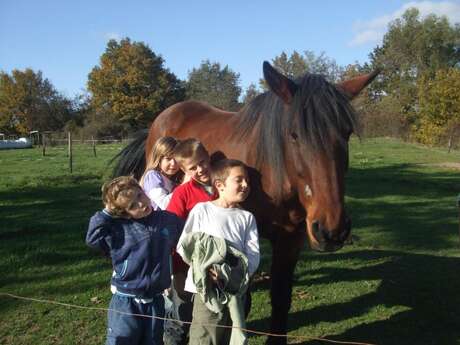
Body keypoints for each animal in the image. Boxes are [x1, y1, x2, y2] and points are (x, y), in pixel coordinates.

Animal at [112, 61, 378, 344]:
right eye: (294, 135)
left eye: (346, 133)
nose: (332, 230)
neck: (270, 175)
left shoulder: (290, 238)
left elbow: (280, 295)